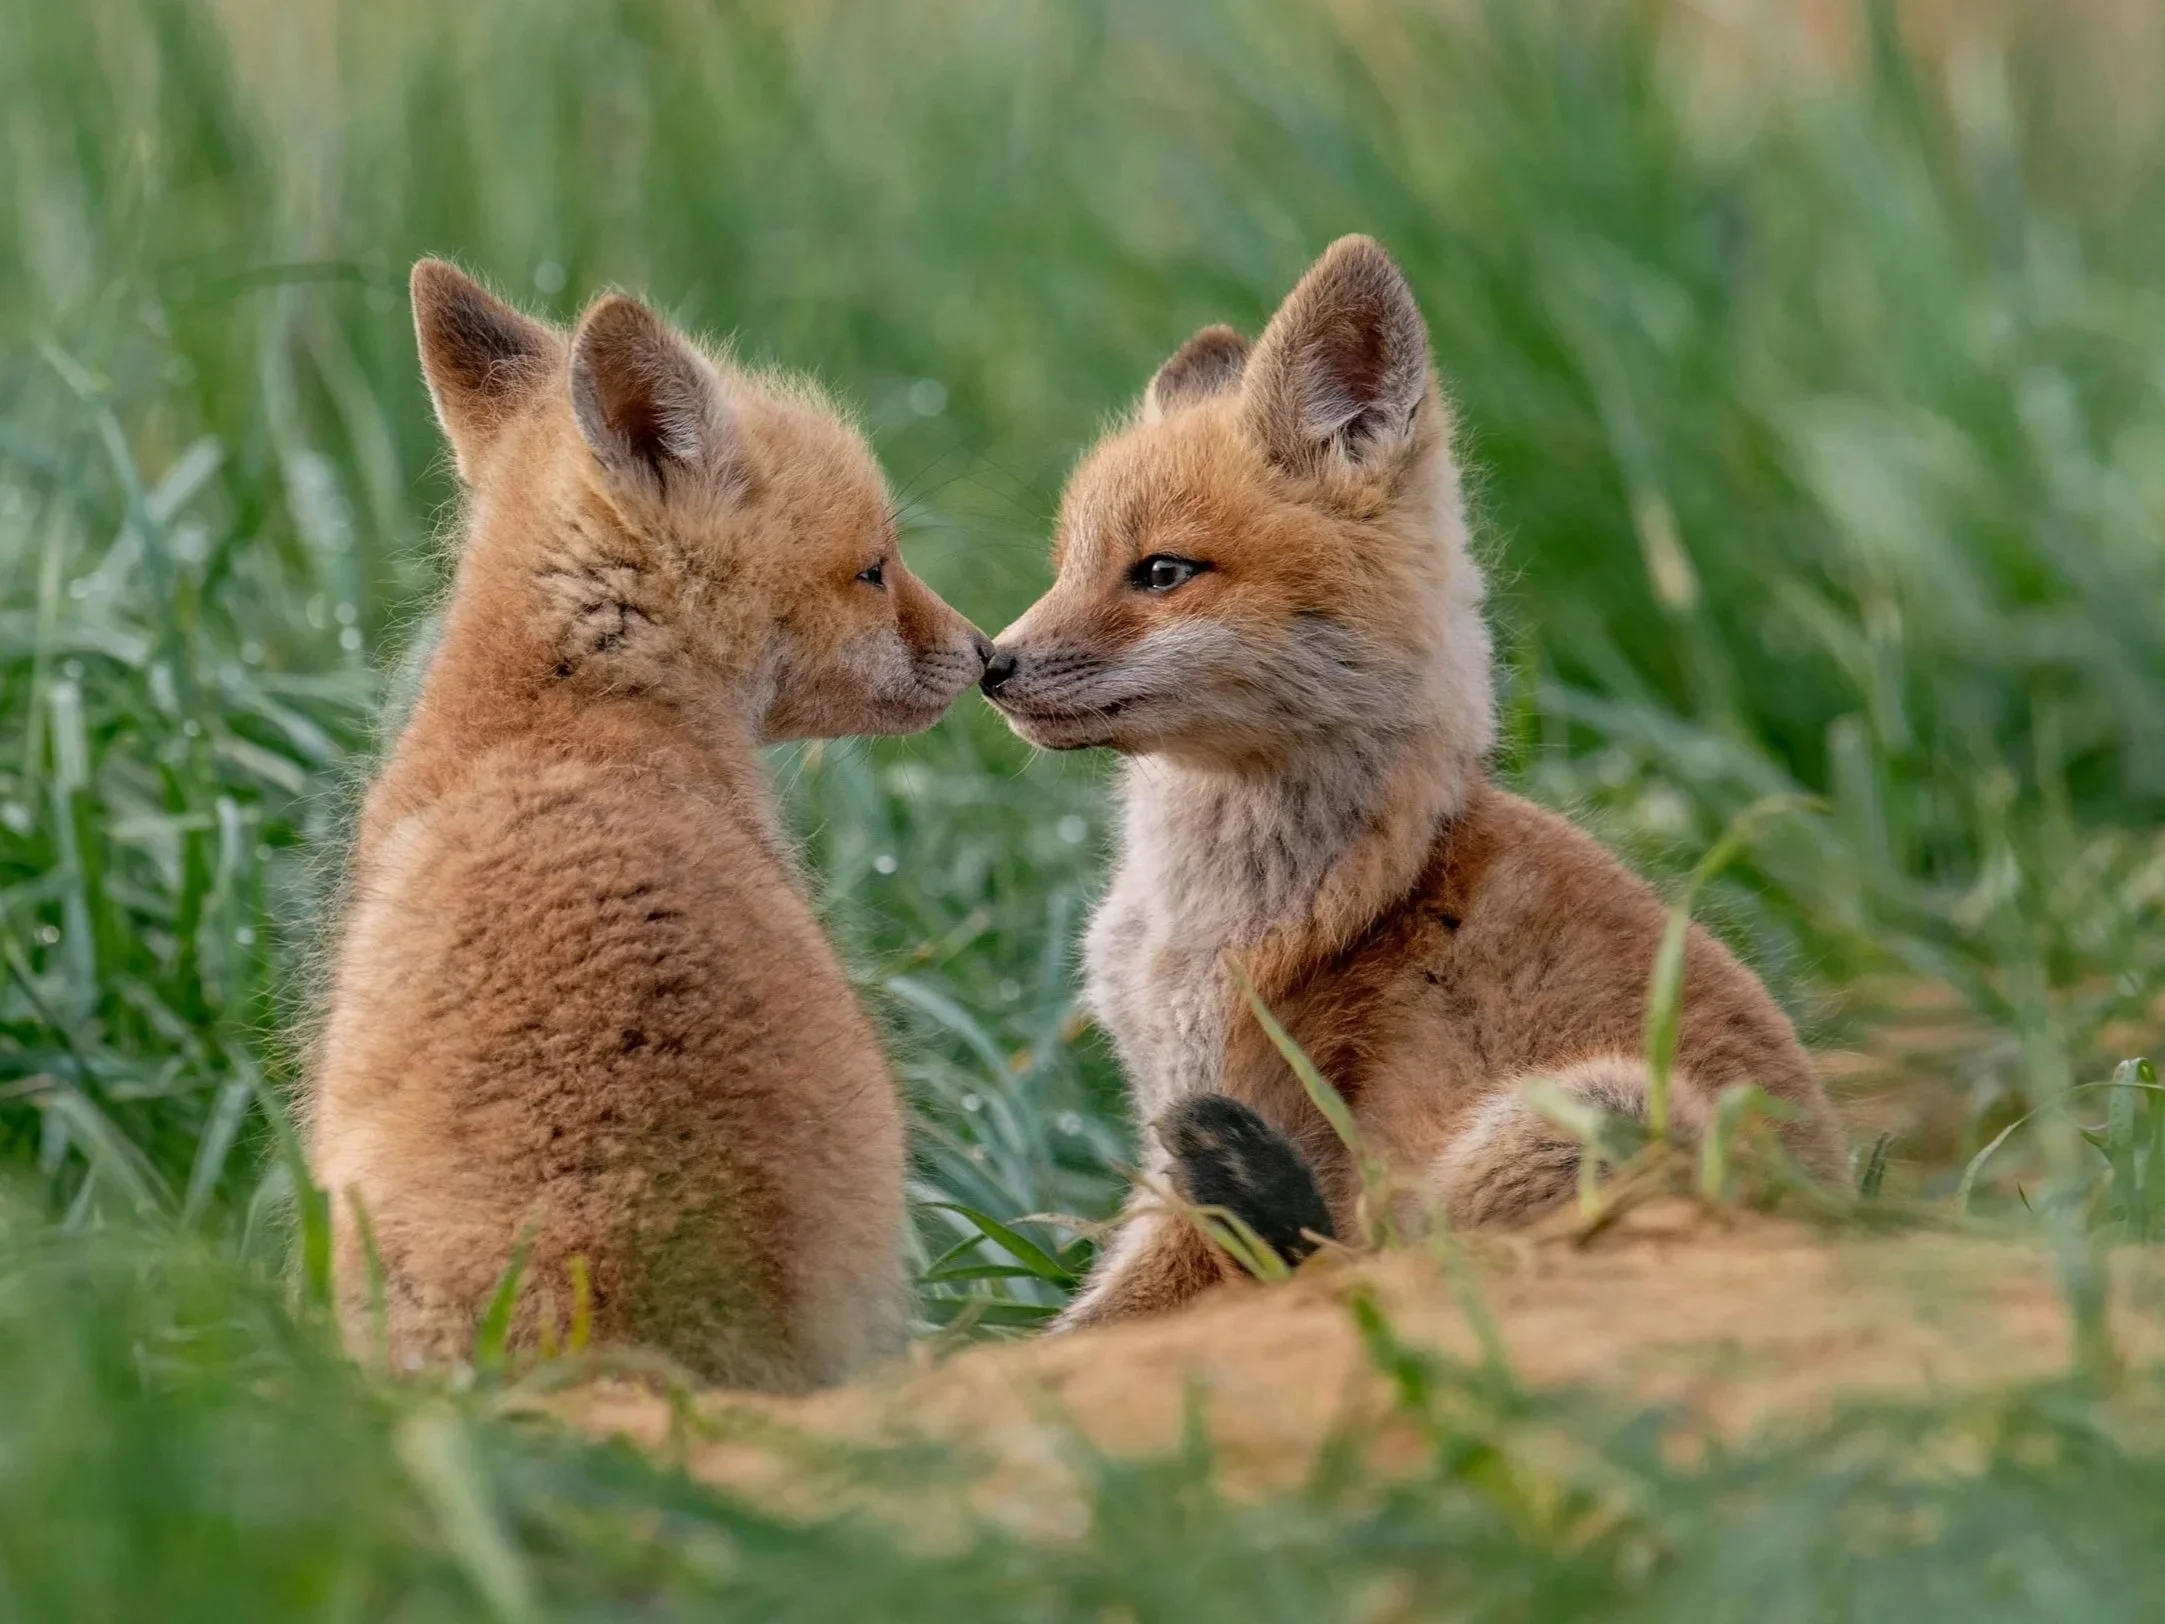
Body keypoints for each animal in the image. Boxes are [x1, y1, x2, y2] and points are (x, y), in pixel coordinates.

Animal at [981, 235, 1848, 1329]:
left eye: (1161, 572)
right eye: (1063, 567)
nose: (988, 663)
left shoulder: (1239, 1117)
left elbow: (1084, 1325)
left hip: (1583, 1115)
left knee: (1381, 1256)